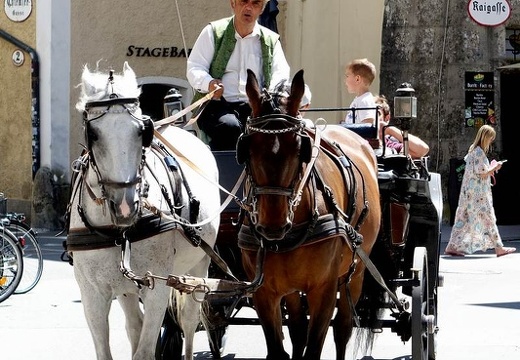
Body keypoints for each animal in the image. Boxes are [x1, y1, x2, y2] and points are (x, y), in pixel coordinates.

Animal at [66, 62, 219, 360]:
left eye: (142, 131)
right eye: (93, 134)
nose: (125, 206)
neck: (117, 231)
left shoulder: (157, 287)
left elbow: (145, 351)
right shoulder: (91, 293)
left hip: (198, 267)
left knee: (189, 321)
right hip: (125, 286)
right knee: (133, 325)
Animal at [237, 69, 382, 358]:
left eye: (299, 148)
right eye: (247, 149)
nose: (272, 226)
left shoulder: (324, 290)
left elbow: (314, 348)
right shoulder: (263, 292)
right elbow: (279, 348)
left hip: (355, 273)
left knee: (343, 329)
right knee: (296, 329)